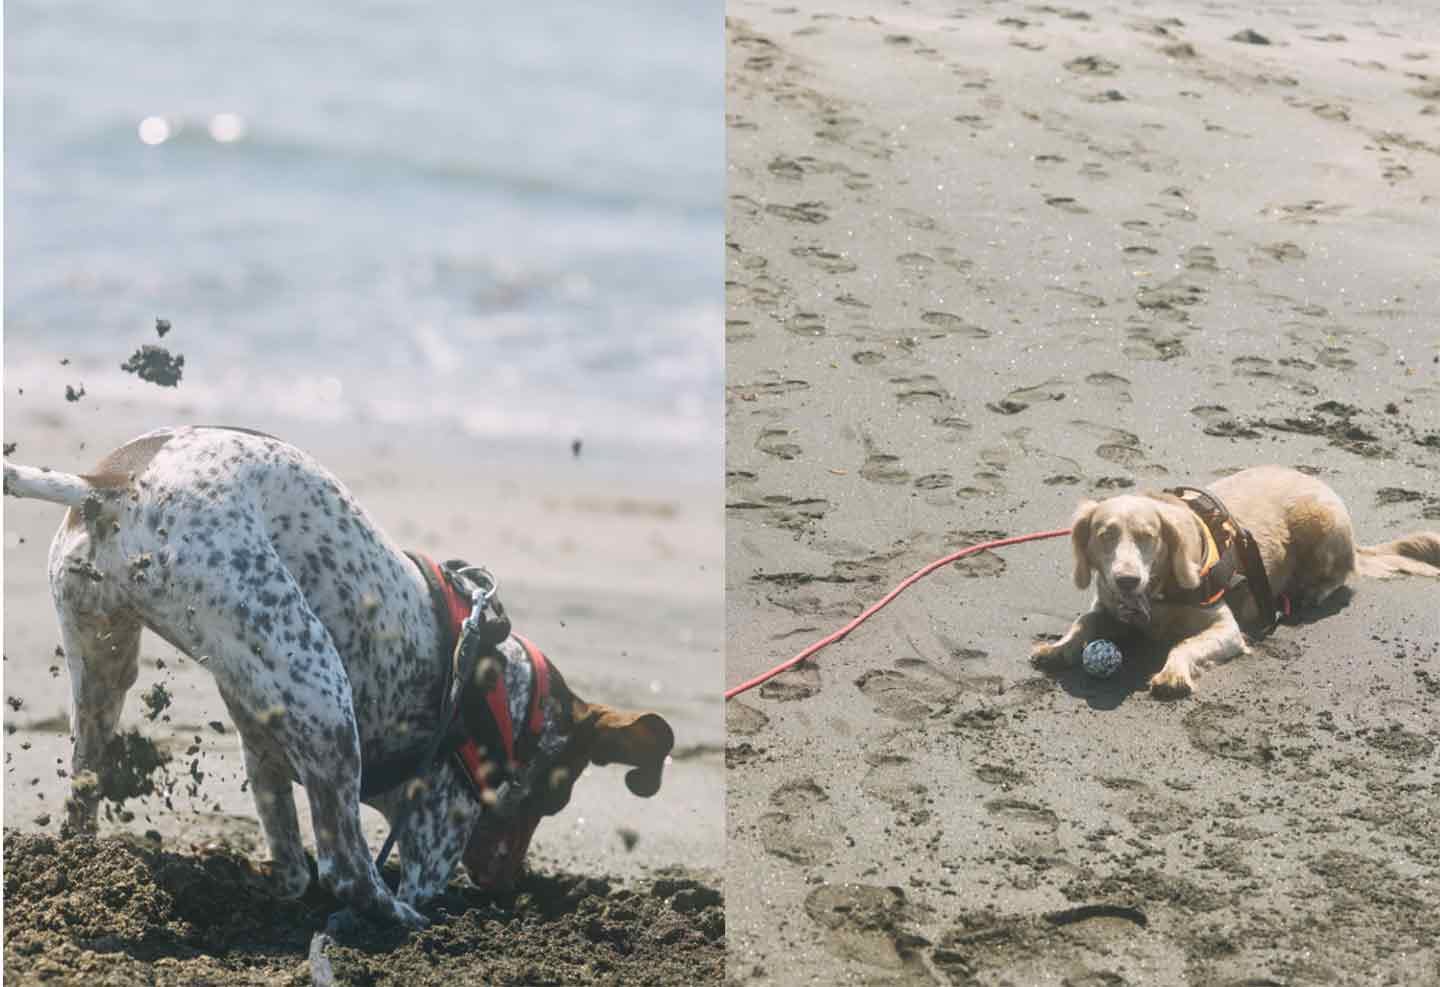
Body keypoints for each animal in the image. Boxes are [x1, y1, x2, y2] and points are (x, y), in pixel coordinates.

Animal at [2, 426, 676, 927]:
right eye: (553, 801)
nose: (504, 888)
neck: (500, 693)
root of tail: (110, 487)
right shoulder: (436, 826)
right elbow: (381, 869)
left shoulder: (262, 746)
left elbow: (289, 859)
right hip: (323, 693)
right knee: (349, 872)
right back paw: (405, 921)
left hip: (106, 669)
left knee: (84, 795)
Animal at [1036, 466, 1440, 697]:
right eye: (1104, 535)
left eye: (1147, 536)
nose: (1126, 580)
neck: (1157, 595)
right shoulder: (1106, 607)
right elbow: (1083, 622)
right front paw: (1057, 647)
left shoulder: (1225, 626)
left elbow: (1183, 645)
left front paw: (1173, 674)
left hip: (1324, 526)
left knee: (1341, 574)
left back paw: (1311, 592)